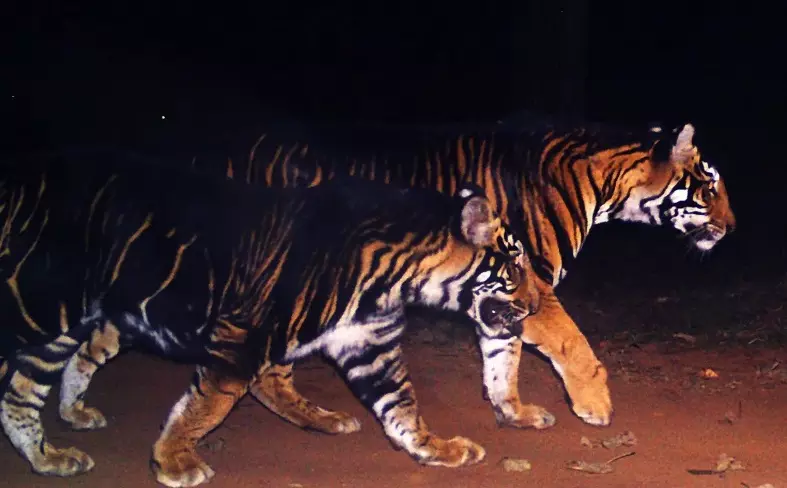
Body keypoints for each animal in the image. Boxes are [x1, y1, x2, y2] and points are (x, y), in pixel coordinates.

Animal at [0, 150, 541, 486]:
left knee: (41, 381)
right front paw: (173, 463)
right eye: (515, 265)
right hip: (40, 308)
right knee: (20, 389)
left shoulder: (368, 345)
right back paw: (50, 454)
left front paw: (438, 450)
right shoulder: (242, 336)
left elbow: (401, 407)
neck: (401, 276)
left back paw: (56, 444)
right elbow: (206, 406)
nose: (537, 304)